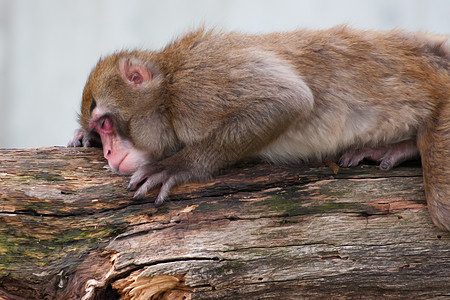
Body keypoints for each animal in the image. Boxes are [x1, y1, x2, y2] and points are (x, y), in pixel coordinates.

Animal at [67, 27, 450, 231]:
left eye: (106, 122)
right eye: (99, 129)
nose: (108, 152)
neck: (168, 94)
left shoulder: (199, 83)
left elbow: (289, 99)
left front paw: (180, 165)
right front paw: (82, 138)